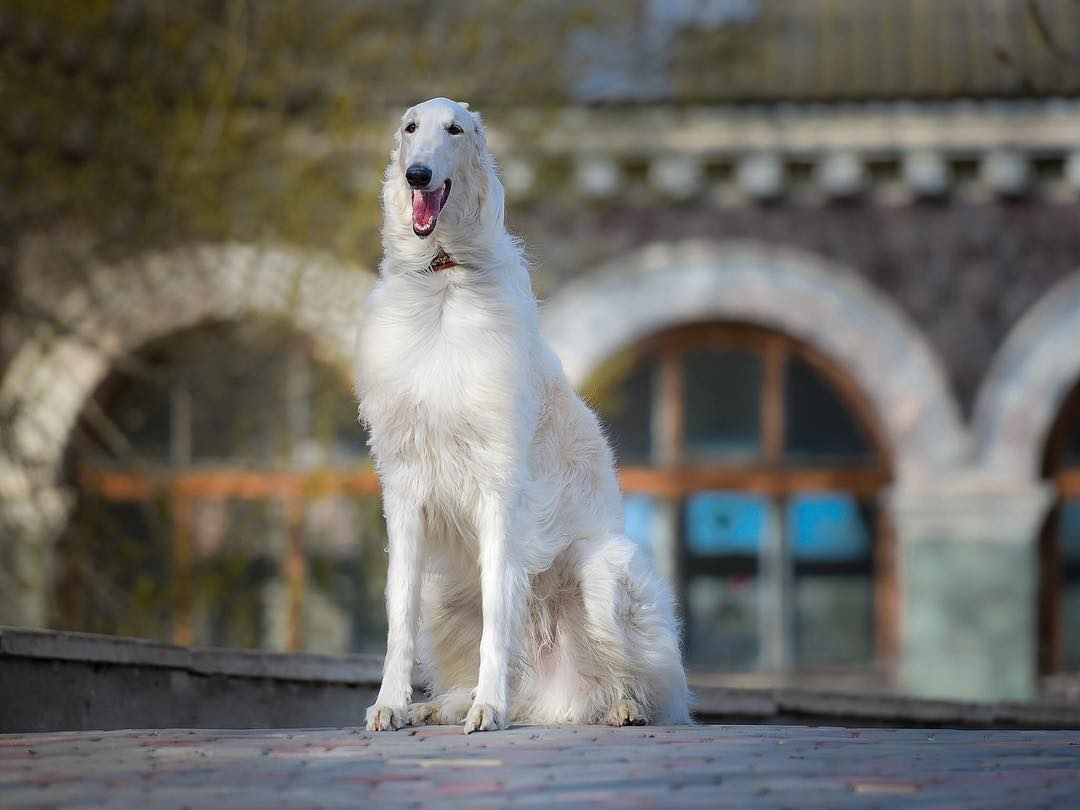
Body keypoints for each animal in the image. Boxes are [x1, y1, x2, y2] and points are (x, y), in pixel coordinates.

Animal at [355, 98, 691, 733]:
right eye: (411, 127)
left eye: (455, 129)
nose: (417, 176)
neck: (443, 278)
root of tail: (552, 696)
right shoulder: (404, 488)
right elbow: (396, 616)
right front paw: (390, 704)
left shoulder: (499, 484)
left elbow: (498, 612)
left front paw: (489, 707)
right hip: (442, 588)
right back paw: (439, 705)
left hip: (605, 573)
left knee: (659, 687)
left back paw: (621, 705)